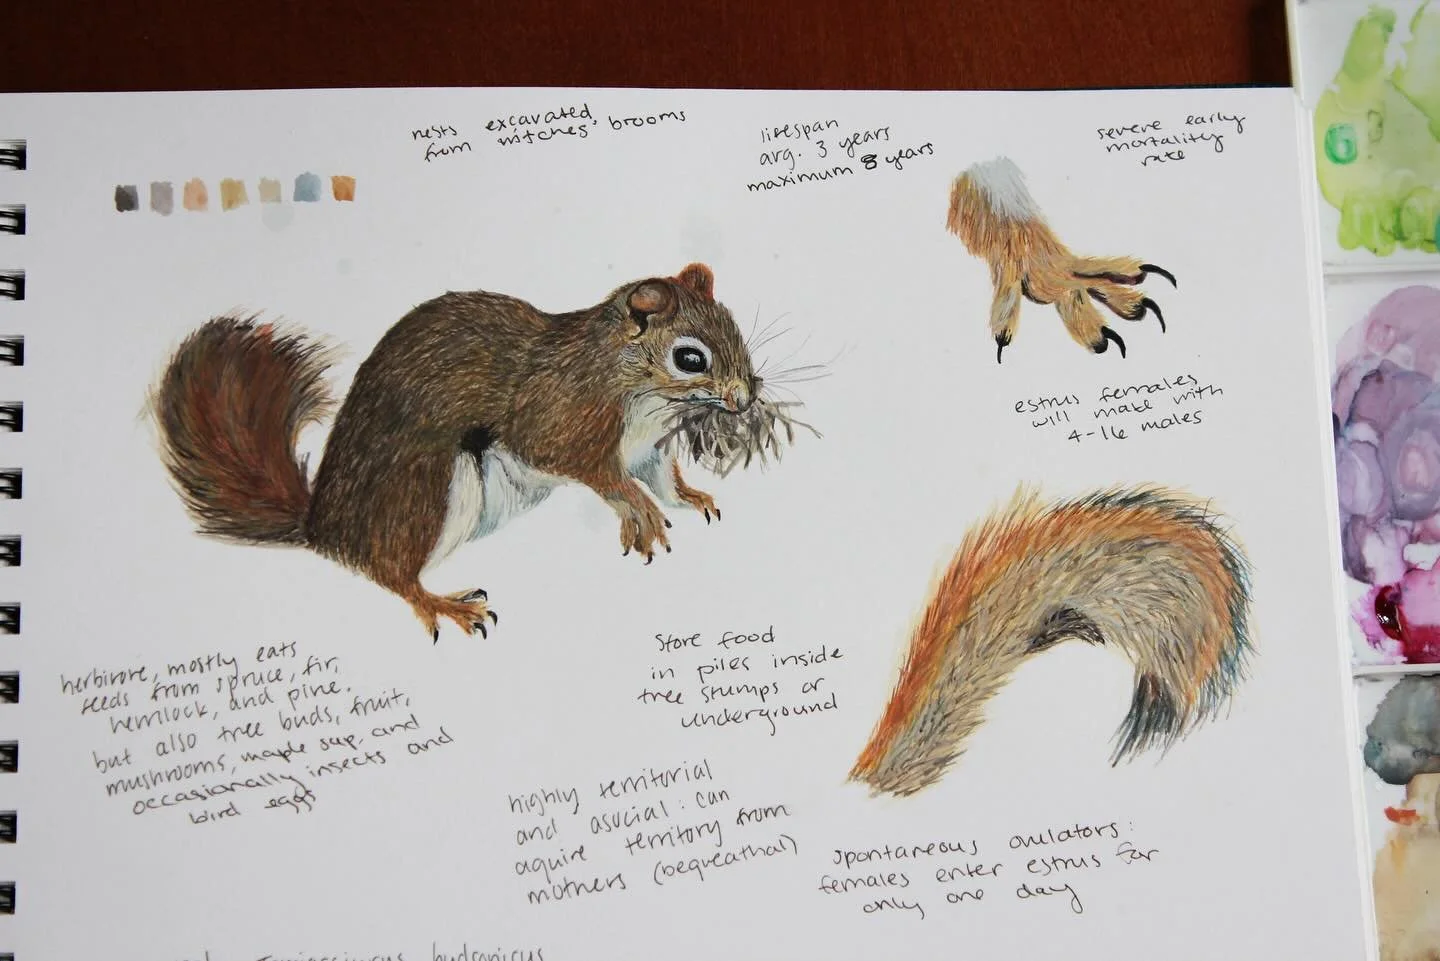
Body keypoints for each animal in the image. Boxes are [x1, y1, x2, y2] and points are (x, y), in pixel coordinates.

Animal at [150, 263, 760, 641]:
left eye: (734, 328)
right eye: (689, 357)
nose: (746, 398)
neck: (632, 384)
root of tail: (324, 526)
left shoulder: (647, 450)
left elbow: (663, 479)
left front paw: (689, 497)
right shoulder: (559, 415)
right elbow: (591, 471)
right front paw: (639, 510)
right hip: (427, 491)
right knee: (390, 570)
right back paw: (444, 604)